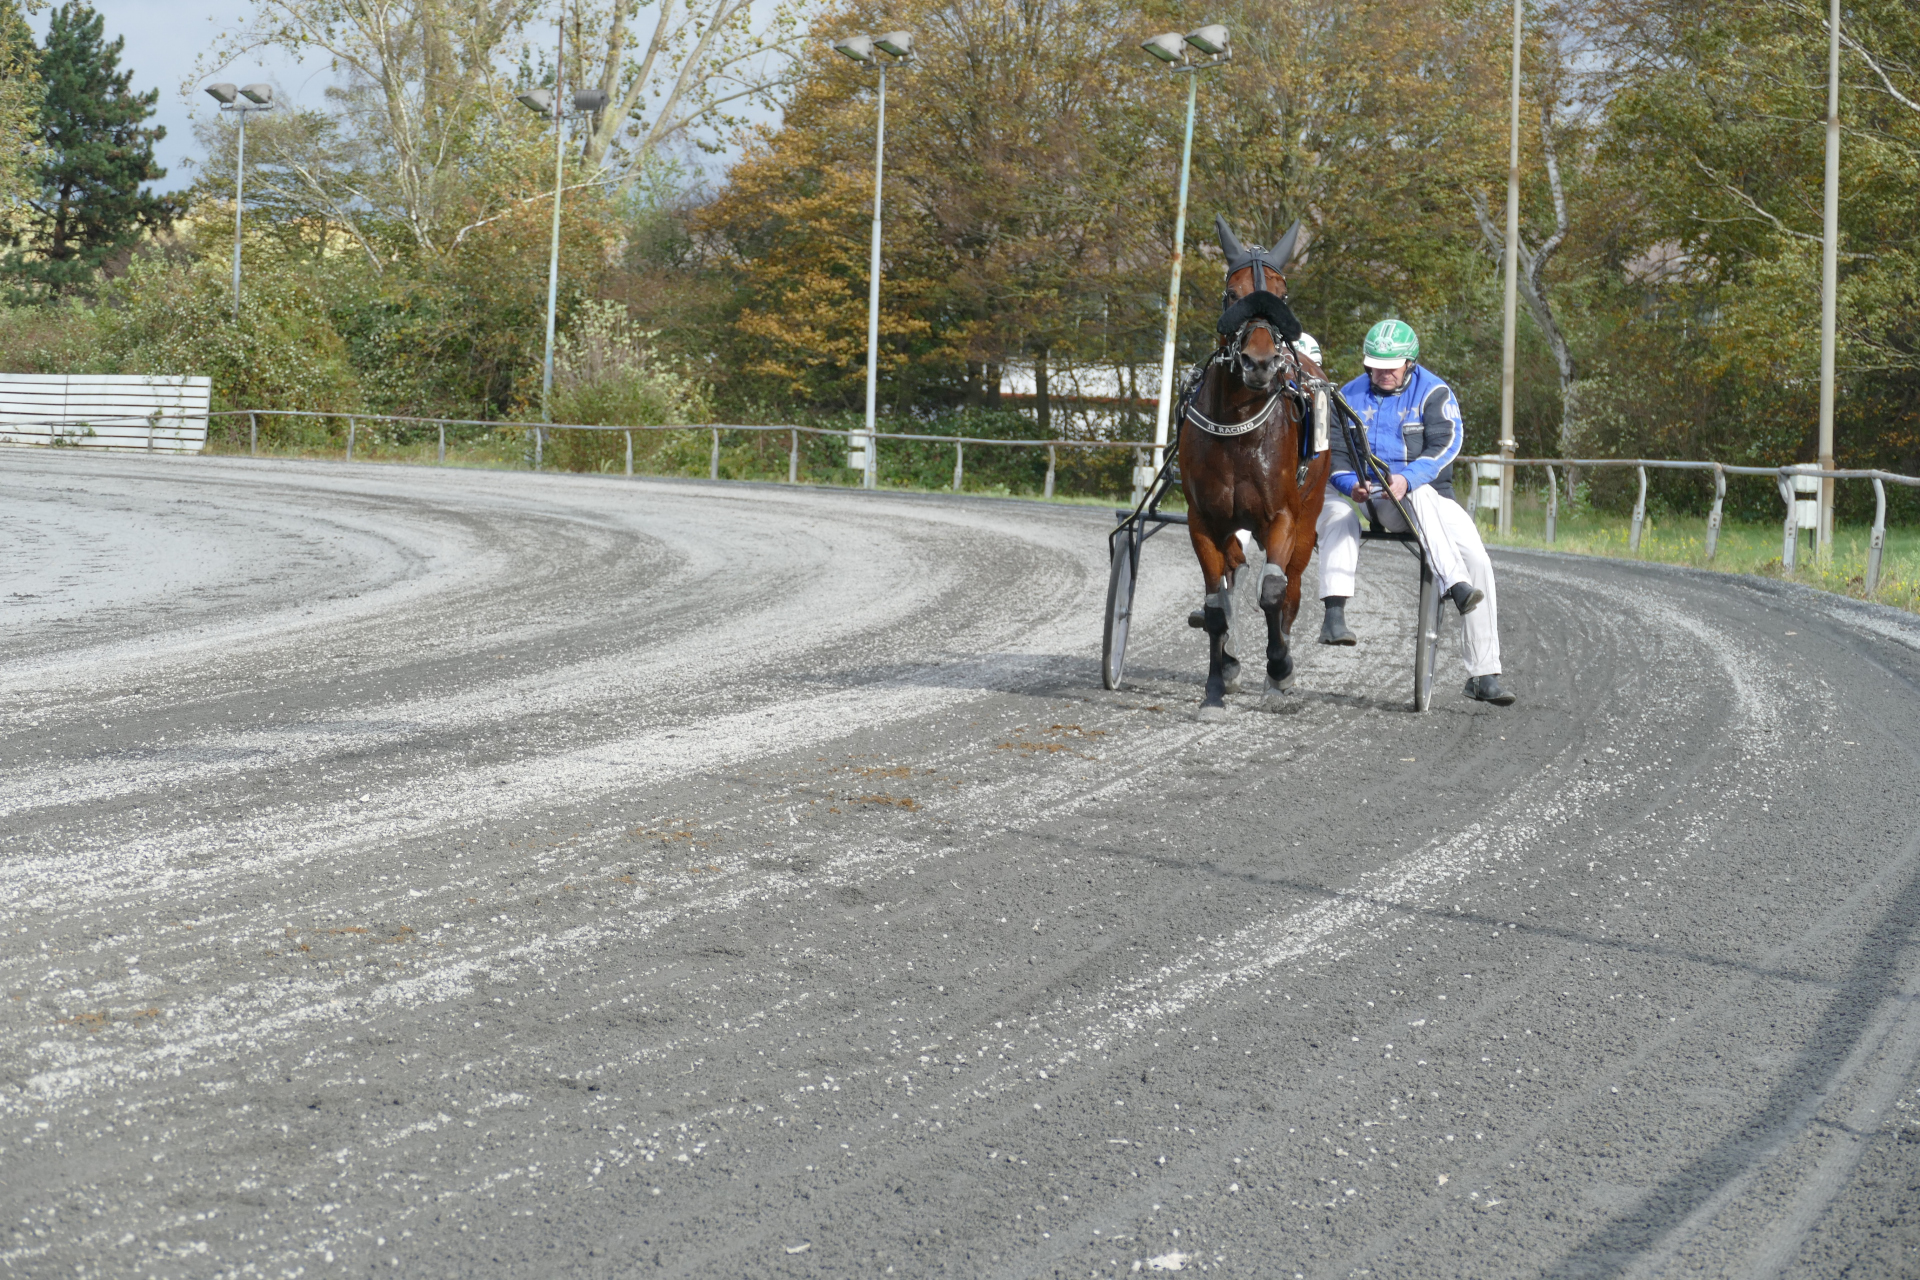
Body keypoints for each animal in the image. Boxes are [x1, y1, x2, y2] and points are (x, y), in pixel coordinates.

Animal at [1177, 216, 1332, 721]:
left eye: (1281, 294)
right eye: (1233, 292)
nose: (1260, 362)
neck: (1239, 429)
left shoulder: (1282, 517)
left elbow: (1273, 593)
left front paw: (1280, 668)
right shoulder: (1204, 521)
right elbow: (1215, 606)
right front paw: (1213, 689)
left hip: (1307, 516)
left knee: (1291, 588)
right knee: (1235, 570)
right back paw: (1230, 661)